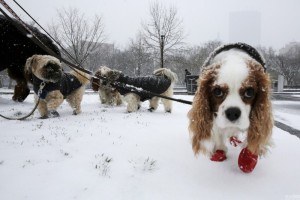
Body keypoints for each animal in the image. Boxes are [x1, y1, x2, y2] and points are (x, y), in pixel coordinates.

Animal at [189, 43, 274, 173]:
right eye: (217, 92)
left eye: (249, 92)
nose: (233, 112)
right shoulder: (216, 117)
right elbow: (218, 133)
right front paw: (219, 151)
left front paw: (248, 158)